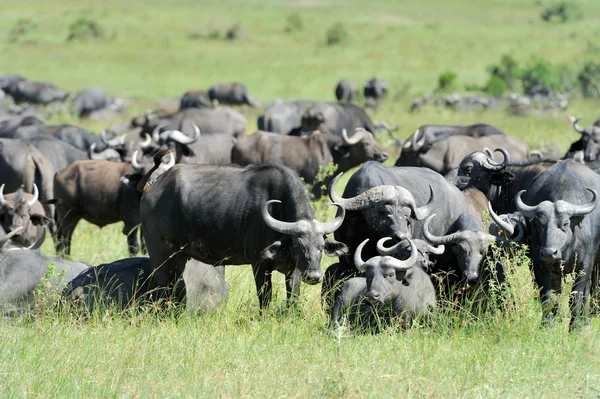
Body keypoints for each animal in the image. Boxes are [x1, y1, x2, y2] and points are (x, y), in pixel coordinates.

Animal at [141, 162, 346, 310]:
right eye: (298, 246)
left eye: (320, 246)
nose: (314, 276)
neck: (278, 207)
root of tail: (151, 189)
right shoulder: (259, 264)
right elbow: (265, 296)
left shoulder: (294, 269)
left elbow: (293, 296)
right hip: (162, 256)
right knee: (162, 286)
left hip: (179, 258)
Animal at [230, 128, 390, 195]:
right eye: (365, 143)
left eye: (373, 140)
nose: (384, 155)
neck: (331, 152)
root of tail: (236, 144)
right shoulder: (315, 186)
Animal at [512, 160, 600, 332]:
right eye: (539, 225)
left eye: (565, 223)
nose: (548, 253)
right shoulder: (540, 266)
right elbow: (548, 297)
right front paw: (547, 325)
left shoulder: (584, 265)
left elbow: (576, 297)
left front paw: (575, 327)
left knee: (586, 292)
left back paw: (585, 319)